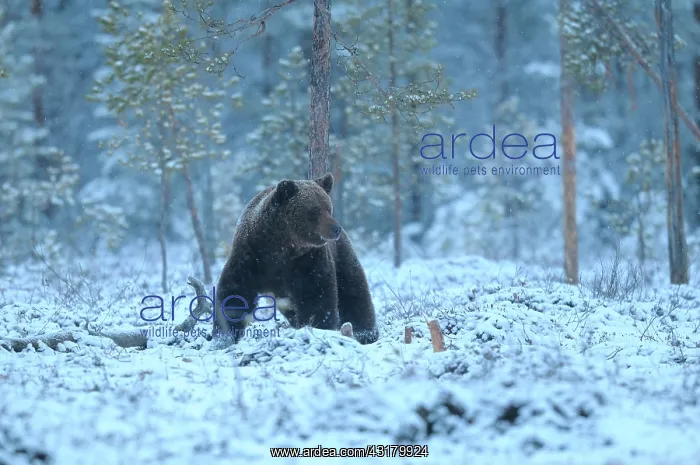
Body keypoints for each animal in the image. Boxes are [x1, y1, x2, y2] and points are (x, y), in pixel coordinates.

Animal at [212, 173, 379, 346]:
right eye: (315, 209)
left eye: (329, 208)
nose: (336, 228)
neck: (280, 247)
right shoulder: (250, 257)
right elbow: (234, 293)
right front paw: (225, 336)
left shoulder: (307, 260)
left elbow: (316, 294)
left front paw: (317, 327)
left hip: (341, 256)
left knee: (354, 291)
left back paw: (365, 333)